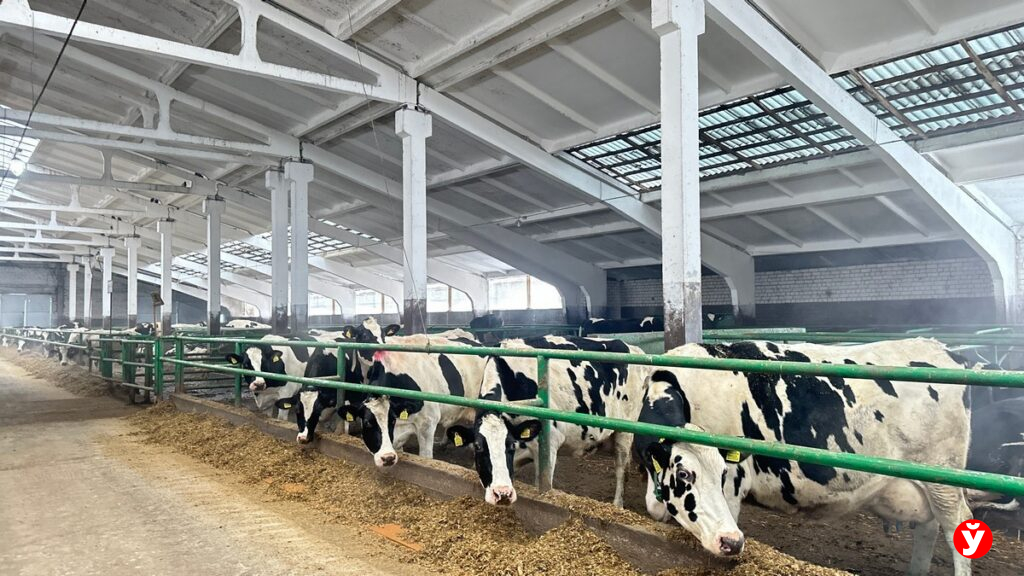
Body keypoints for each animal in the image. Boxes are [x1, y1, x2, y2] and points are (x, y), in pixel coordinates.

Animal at [445, 336, 650, 507]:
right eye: (478, 446)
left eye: (510, 445)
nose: (502, 494)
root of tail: (633, 348)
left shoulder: (549, 445)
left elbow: (543, 482)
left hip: (625, 430)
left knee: (621, 468)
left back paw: (617, 505)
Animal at [632, 339, 972, 575]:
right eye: (685, 473)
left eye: (721, 473)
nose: (732, 541)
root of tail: (943, 348)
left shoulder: (734, 485)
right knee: (929, 528)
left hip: (944, 478)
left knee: (957, 526)